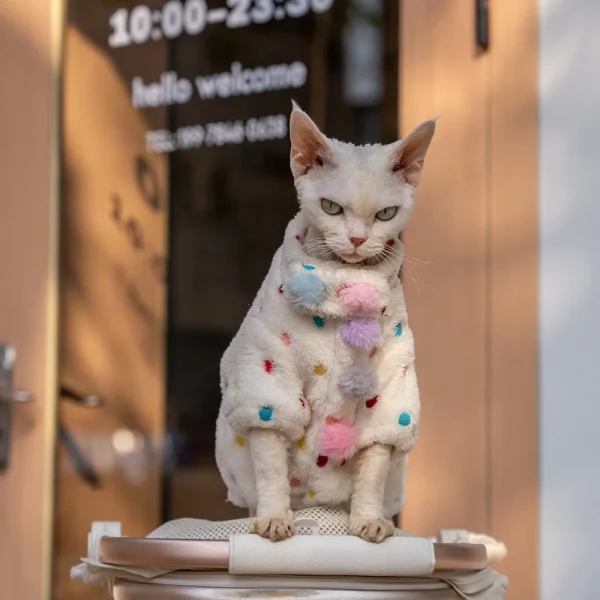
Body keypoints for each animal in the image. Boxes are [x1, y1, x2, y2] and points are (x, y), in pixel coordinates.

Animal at [216, 103, 436, 544]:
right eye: (331, 207)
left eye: (386, 214)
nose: (357, 240)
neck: (342, 283)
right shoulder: (268, 382)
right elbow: (271, 464)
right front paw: (273, 518)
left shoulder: (390, 385)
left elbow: (374, 466)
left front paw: (368, 520)